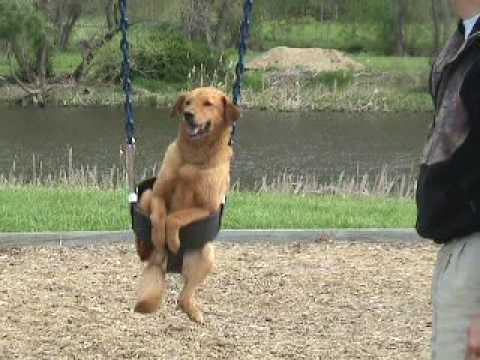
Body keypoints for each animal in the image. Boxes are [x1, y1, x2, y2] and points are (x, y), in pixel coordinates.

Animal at [133, 86, 240, 322]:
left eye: (208, 103)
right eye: (187, 102)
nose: (188, 115)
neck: (193, 159)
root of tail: (166, 263)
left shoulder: (208, 208)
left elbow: (175, 217)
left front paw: (172, 240)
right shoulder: (157, 195)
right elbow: (160, 216)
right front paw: (159, 236)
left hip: (207, 255)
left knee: (184, 295)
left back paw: (194, 311)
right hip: (145, 196)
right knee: (142, 249)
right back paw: (145, 245)